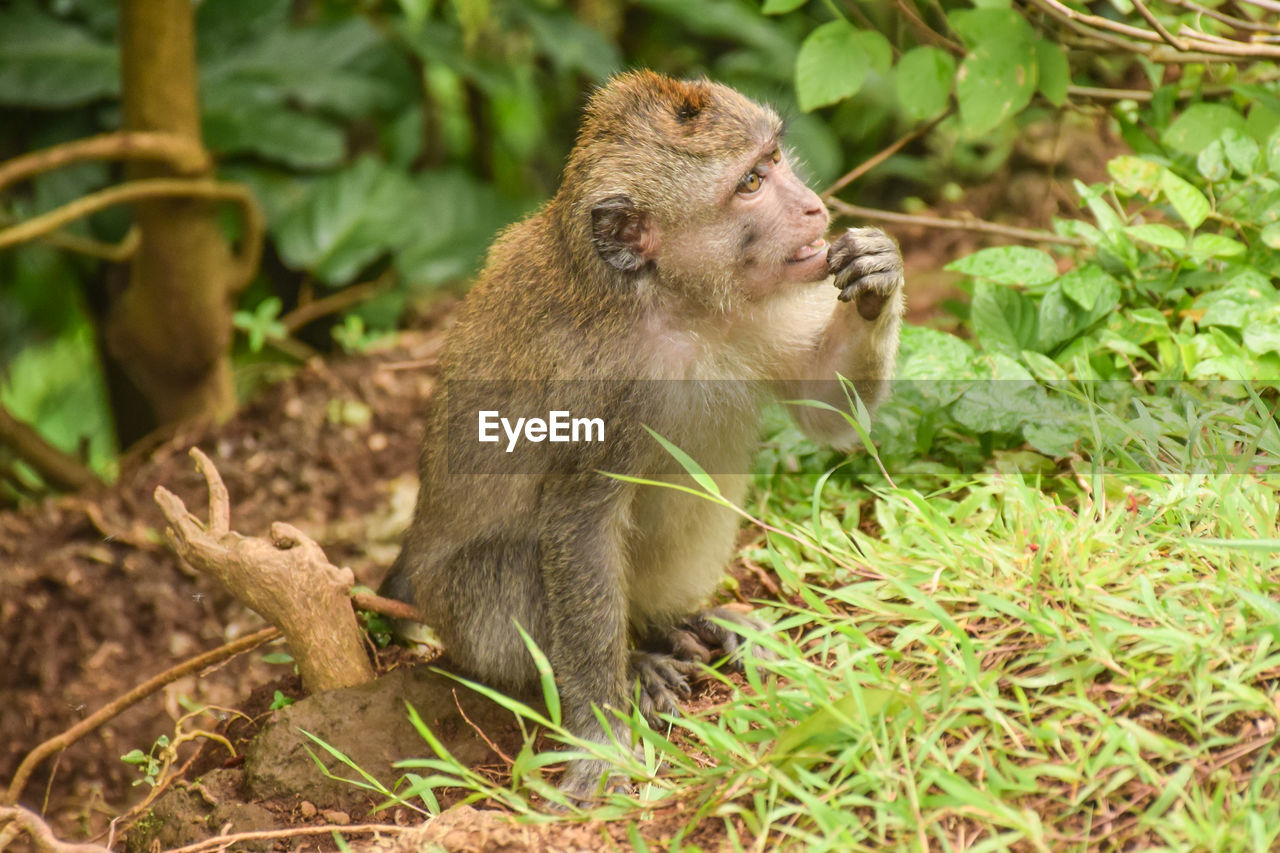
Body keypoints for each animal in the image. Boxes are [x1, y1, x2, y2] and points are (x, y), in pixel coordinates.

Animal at [378, 68, 911, 799]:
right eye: (751, 183)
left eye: (774, 159)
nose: (810, 206)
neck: (672, 305)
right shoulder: (593, 383)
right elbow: (578, 526)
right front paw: (602, 735)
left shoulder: (756, 309)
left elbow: (826, 405)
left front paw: (877, 270)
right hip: (461, 612)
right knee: (512, 567)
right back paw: (636, 659)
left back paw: (679, 622)